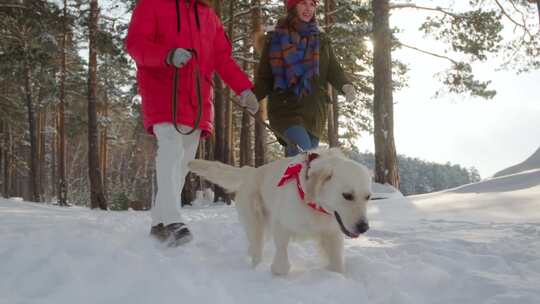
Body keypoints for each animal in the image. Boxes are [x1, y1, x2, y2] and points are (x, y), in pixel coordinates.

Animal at [187, 148, 372, 276]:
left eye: (368, 197)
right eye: (347, 195)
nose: (364, 227)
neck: (313, 202)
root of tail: (251, 171)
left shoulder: (332, 233)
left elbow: (338, 265)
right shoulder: (281, 224)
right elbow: (282, 261)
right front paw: (277, 271)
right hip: (255, 222)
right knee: (256, 248)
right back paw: (256, 267)